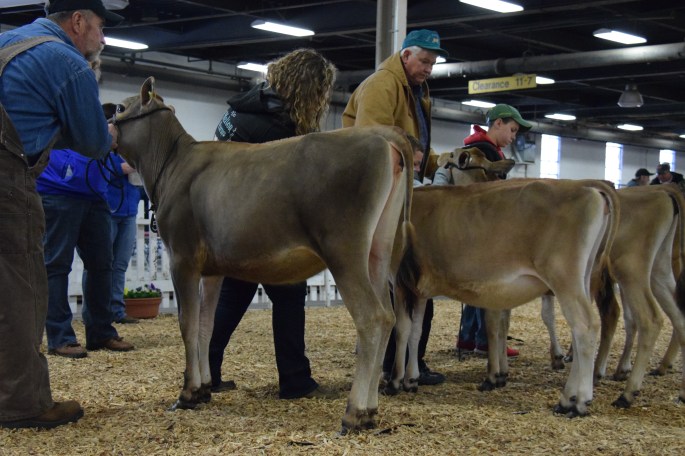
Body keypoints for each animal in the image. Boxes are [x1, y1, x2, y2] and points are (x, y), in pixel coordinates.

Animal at [111, 77, 415, 434]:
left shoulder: (182, 258)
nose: (105, 120)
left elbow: (188, 323)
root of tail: (381, 134)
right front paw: (203, 389)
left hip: (344, 250)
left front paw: (187, 394)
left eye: (119, 107)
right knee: (390, 316)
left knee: (373, 317)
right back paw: (370, 410)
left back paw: (355, 412)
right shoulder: (212, 270)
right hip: (378, 251)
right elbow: (206, 324)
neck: (172, 163)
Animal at [389, 177, 619, 417]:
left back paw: (579, 401)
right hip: (583, 277)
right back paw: (568, 398)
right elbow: (416, 331)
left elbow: (401, 330)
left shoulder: (399, 281)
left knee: (586, 326)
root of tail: (586, 186)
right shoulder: (419, 290)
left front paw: (395, 381)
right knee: (577, 331)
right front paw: (411, 379)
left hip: (564, 278)